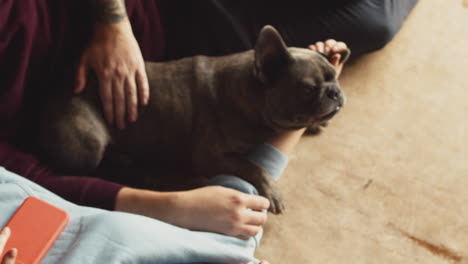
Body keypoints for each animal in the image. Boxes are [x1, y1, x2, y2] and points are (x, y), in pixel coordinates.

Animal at [38, 25, 350, 213]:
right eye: (308, 89)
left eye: (333, 79)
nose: (335, 91)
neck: (250, 93)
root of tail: (50, 92)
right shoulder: (210, 157)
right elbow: (251, 166)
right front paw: (272, 190)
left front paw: (316, 123)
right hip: (87, 145)